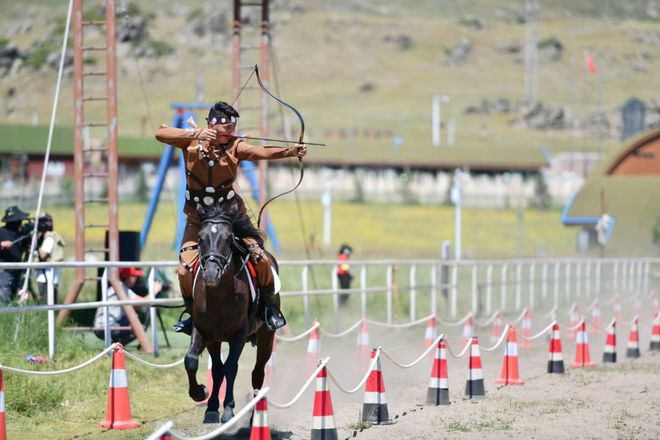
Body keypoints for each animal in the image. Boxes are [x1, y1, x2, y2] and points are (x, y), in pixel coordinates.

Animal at [184, 201, 278, 424]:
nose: (211, 273)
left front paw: (228, 410)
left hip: (266, 336)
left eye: (228, 238)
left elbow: (230, 367)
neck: (219, 296)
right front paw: (203, 397)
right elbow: (195, 361)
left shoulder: (239, 334)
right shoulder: (205, 332)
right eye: (200, 238)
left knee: (257, 373)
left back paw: (255, 416)